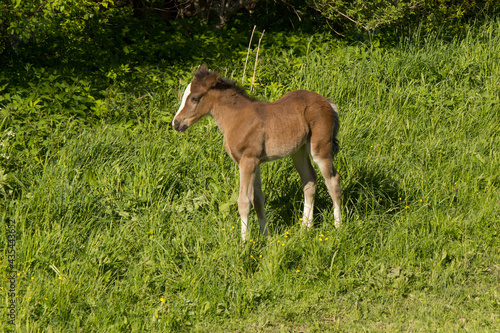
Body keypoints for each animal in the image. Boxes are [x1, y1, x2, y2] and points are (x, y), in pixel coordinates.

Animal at [172, 63, 340, 240]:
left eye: (195, 98)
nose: (176, 123)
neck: (236, 118)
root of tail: (328, 102)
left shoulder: (248, 161)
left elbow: (244, 201)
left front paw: (244, 242)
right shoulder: (256, 162)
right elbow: (257, 199)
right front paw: (266, 237)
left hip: (320, 148)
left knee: (333, 180)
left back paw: (338, 227)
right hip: (298, 151)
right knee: (309, 180)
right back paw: (304, 229)